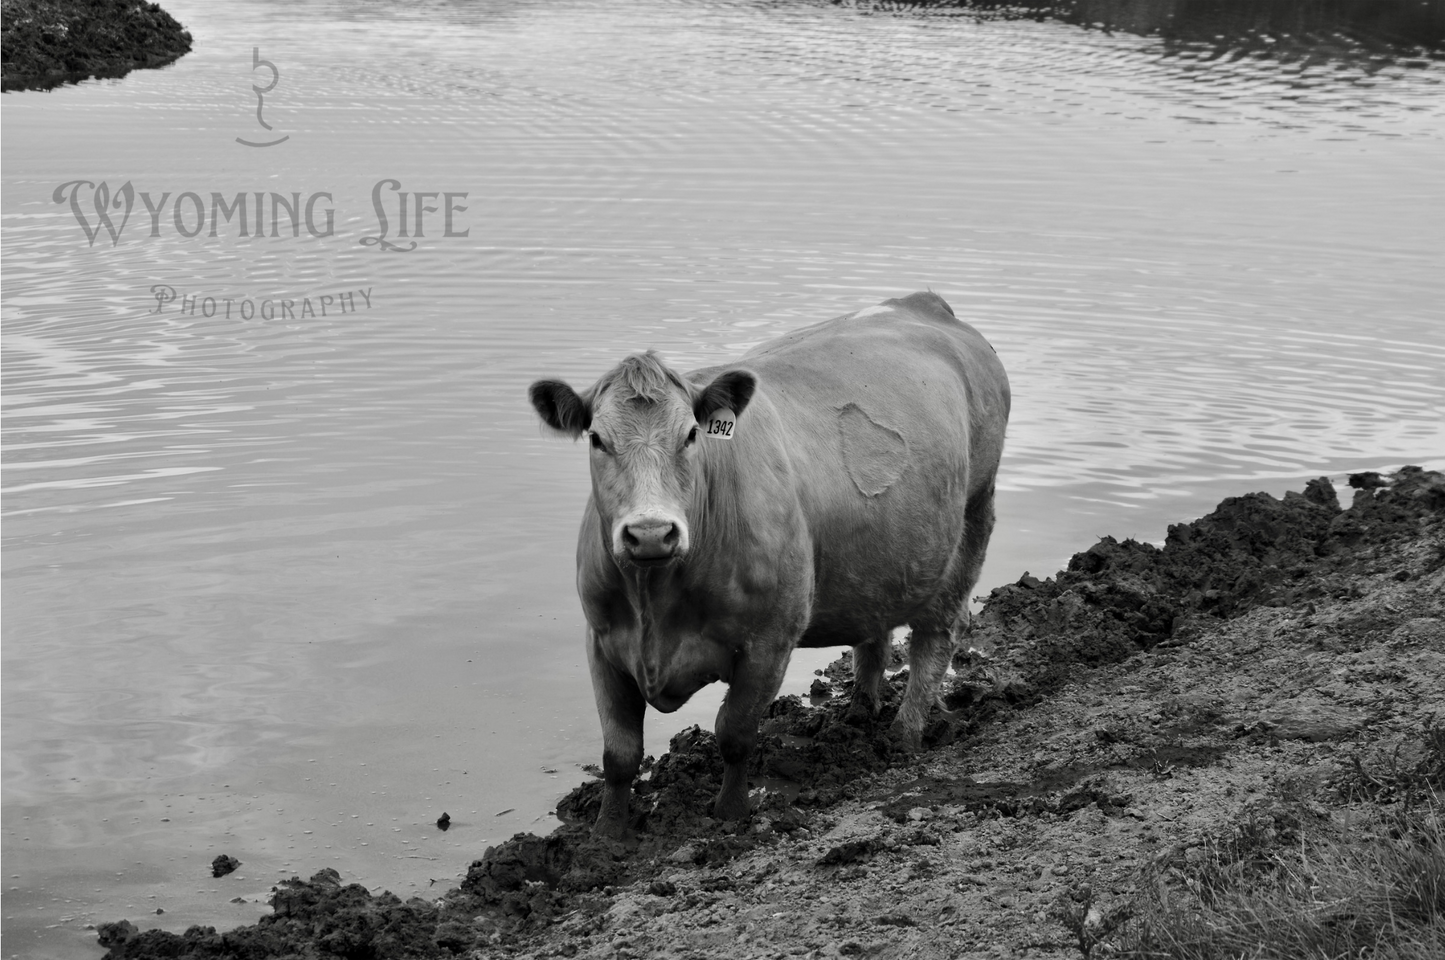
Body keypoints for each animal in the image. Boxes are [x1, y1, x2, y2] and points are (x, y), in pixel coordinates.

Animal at [525, 292, 1011, 838]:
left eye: (691, 435)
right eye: (596, 439)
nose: (650, 532)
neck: (657, 599)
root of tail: (922, 303)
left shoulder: (771, 638)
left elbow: (735, 733)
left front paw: (731, 815)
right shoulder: (603, 641)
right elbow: (619, 754)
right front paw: (607, 834)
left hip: (974, 515)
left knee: (937, 636)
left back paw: (903, 735)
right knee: (876, 629)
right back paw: (858, 712)